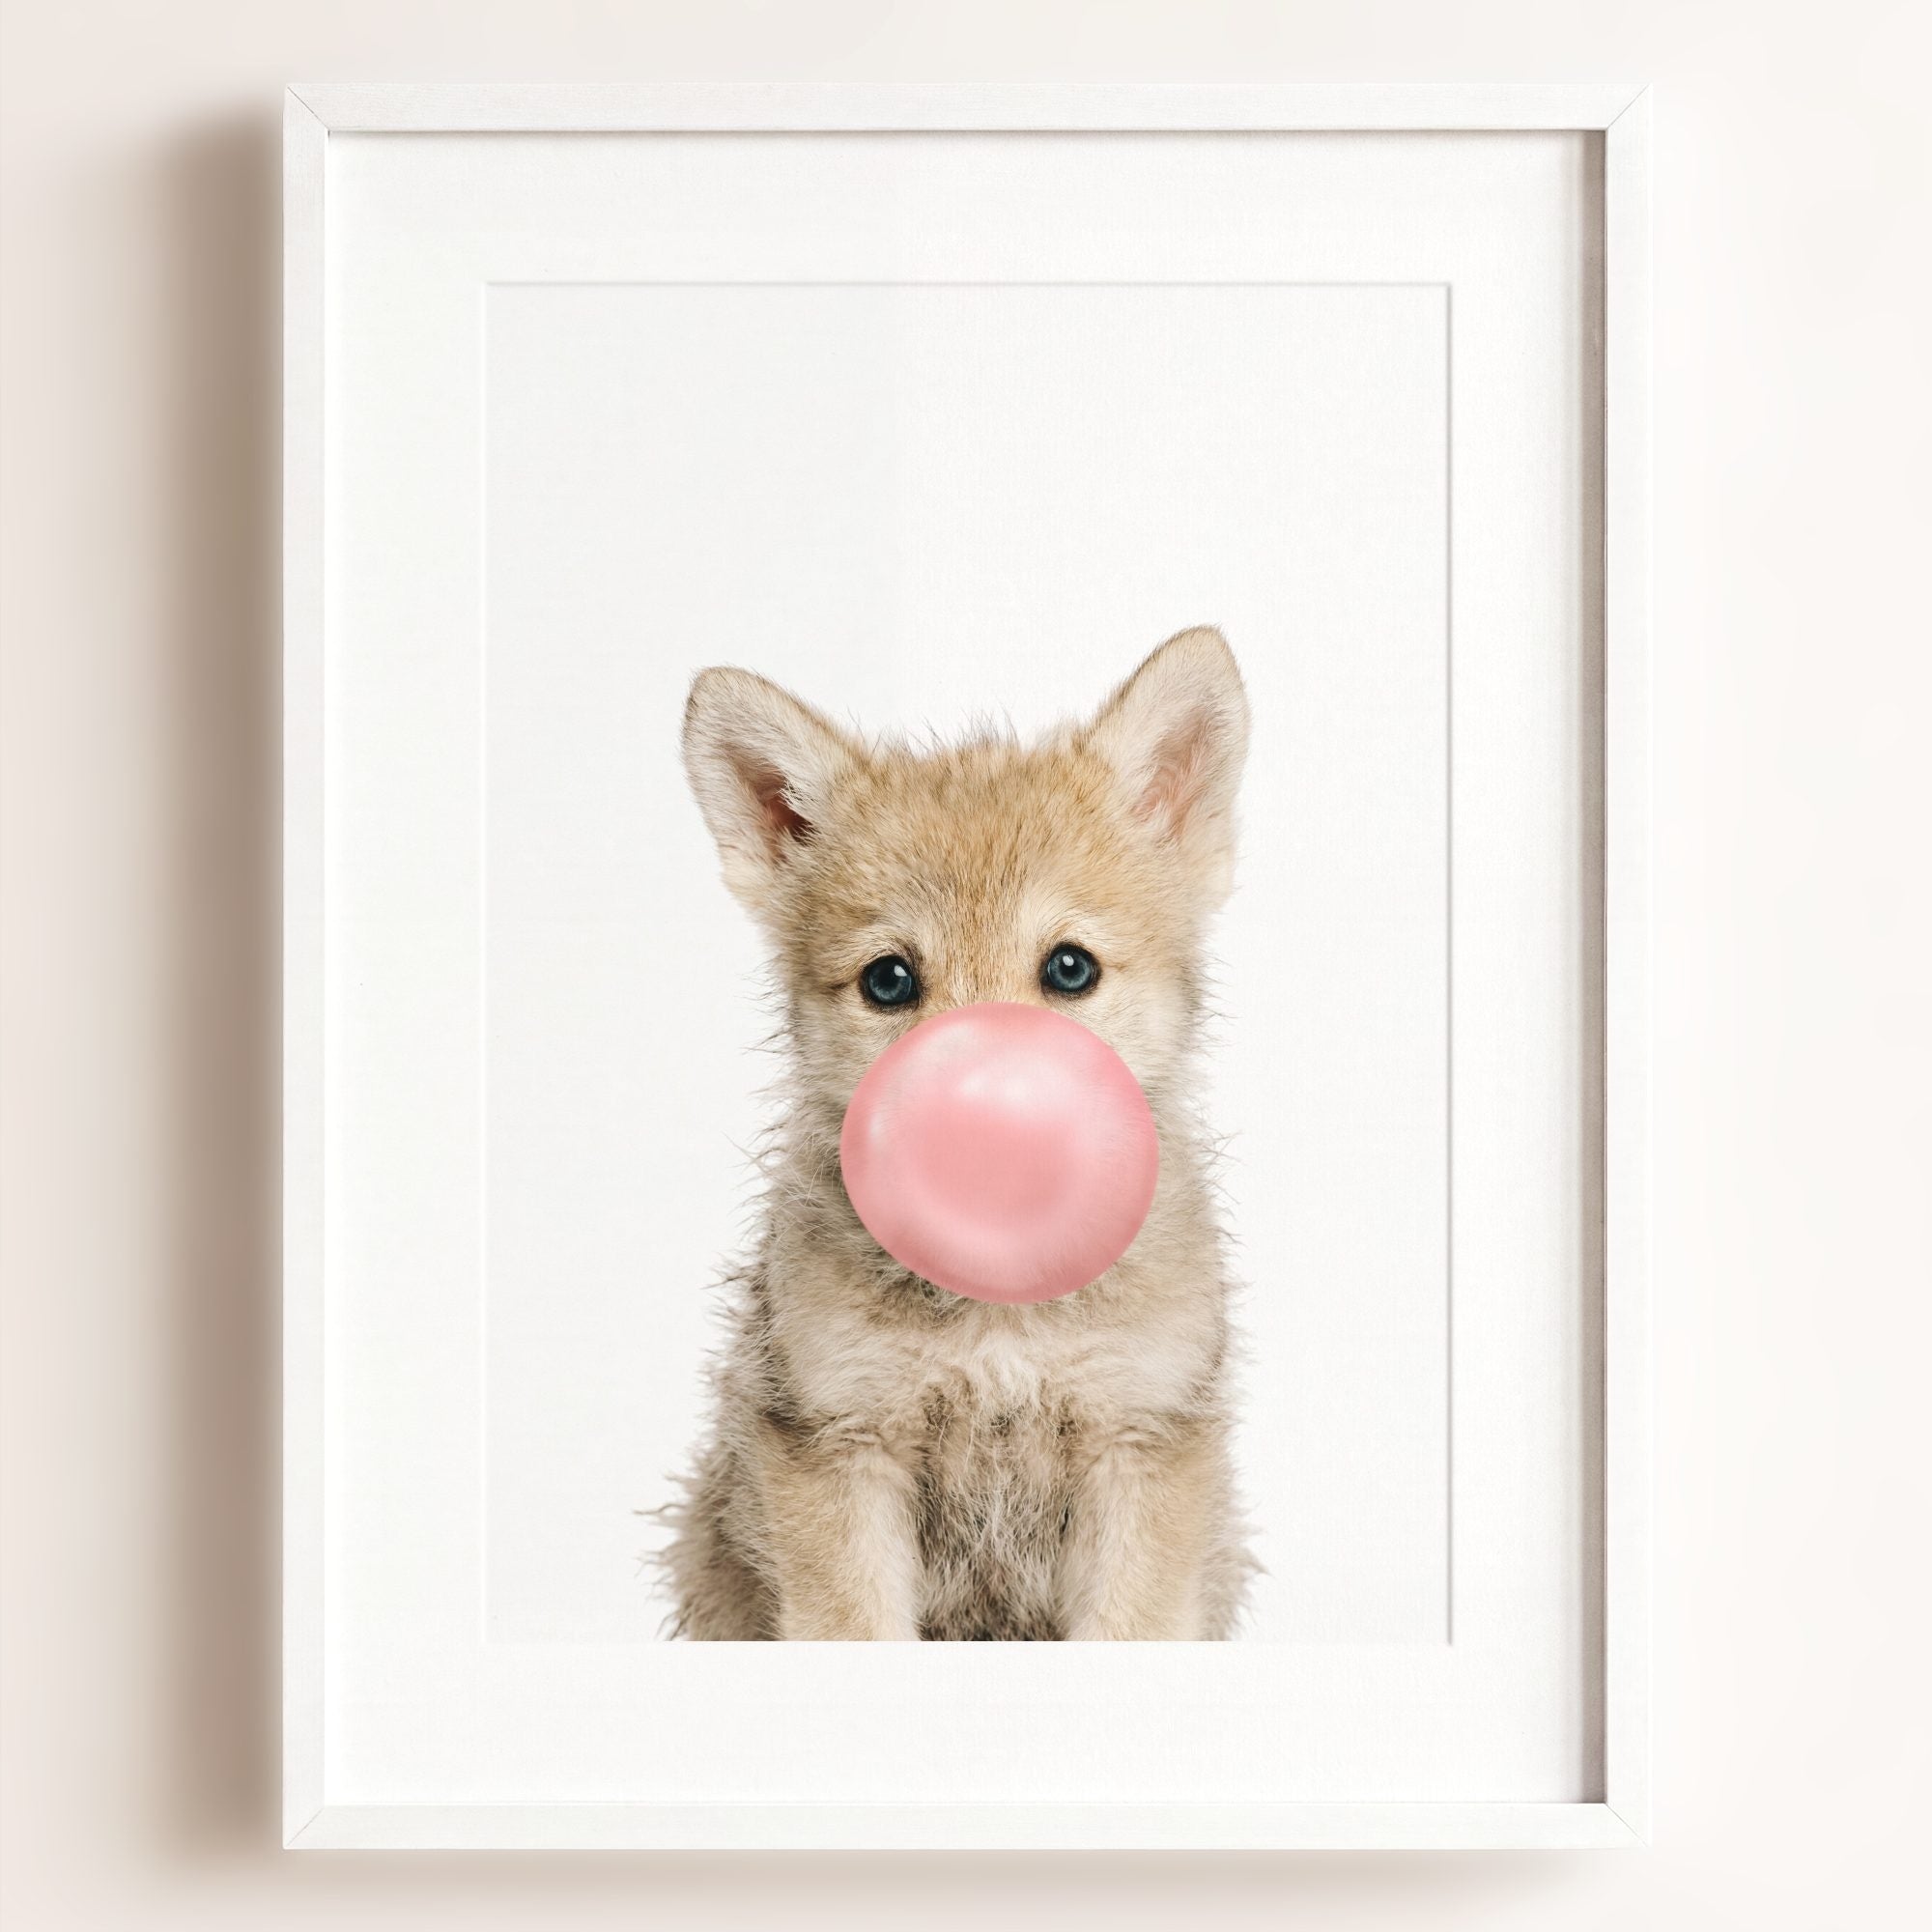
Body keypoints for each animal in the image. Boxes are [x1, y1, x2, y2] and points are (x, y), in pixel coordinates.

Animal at [660, 626, 1253, 1639]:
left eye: (1069, 968)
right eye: (889, 980)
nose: (980, 1122)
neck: (999, 1313)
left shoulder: (1140, 1444)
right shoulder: (840, 1447)